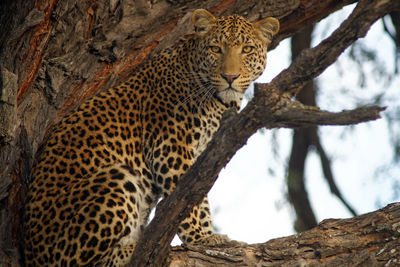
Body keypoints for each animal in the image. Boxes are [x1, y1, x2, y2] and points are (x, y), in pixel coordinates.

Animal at [21, 9, 278, 266]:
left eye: (247, 49)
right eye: (216, 49)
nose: (230, 77)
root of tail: (33, 255)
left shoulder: (203, 155)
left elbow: (197, 195)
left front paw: (206, 237)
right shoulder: (170, 147)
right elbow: (187, 200)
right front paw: (200, 238)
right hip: (113, 180)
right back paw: (134, 248)